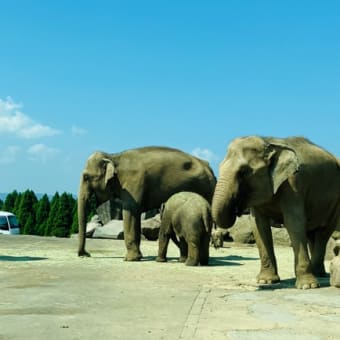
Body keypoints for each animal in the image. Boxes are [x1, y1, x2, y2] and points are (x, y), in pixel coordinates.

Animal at [77, 146, 215, 260]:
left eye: (86, 177)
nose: (86, 254)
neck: (113, 156)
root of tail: (210, 168)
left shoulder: (133, 183)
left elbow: (130, 212)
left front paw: (129, 259)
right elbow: (135, 216)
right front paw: (138, 256)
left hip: (205, 189)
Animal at [212, 136, 340, 290]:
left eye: (243, 172)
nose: (237, 208)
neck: (268, 142)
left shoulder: (293, 184)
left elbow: (294, 223)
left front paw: (307, 286)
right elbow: (259, 226)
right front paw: (265, 281)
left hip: (335, 203)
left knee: (323, 232)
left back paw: (317, 274)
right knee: (311, 234)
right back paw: (319, 273)